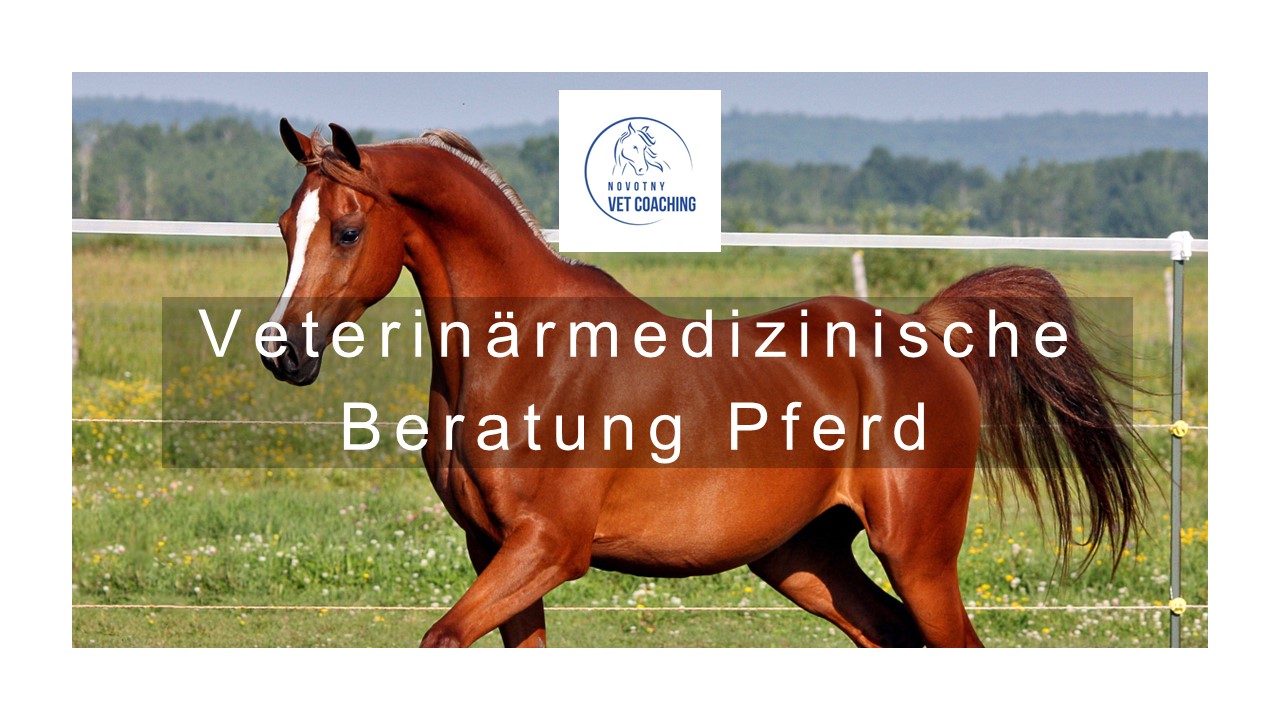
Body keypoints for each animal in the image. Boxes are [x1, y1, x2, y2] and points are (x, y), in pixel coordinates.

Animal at [261, 119, 1146, 648]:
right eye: (284, 227)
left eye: (348, 230)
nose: (283, 352)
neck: (527, 355)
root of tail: (926, 334)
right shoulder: (494, 551)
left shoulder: (548, 549)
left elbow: (439, 637)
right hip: (805, 560)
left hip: (918, 553)